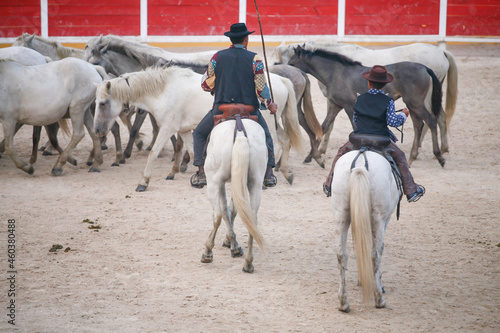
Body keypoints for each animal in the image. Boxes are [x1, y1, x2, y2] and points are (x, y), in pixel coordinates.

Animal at [94, 66, 304, 191]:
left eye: (103, 103)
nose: (97, 131)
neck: (163, 91)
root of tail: (280, 80)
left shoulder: (167, 128)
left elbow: (153, 152)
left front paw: (143, 182)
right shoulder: (185, 131)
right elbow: (193, 152)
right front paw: (200, 178)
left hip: (265, 125)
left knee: (273, 145)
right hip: (273, 124)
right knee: (285, 141)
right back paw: (286, 173)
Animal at [201, 115, 268, 272]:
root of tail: (239, 131)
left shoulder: (221, 183)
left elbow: (225, 212)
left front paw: (232, 244)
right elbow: (233, 209)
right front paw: (232, 243)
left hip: (213, 181)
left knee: (217, 215)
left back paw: (208, 251)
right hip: (255, 183)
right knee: (252, 218)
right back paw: (248, 263)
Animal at [272, 41, 458, 154]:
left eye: (291, 62)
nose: (289, 73)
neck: (336, 72)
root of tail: (426, 67)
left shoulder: (348, 106)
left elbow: (351, 128)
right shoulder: (335, 104)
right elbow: (325, 127)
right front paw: (316, 153)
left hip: (418, 102)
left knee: (431, 120)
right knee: (432, 120)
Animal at [332, 140, 402, 312]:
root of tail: (360, 165)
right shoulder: (385, 219)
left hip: (341, 216)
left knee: (341, 255)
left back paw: (343, 302)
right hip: (377, 218)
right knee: (375, 254)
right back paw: (379, 299)